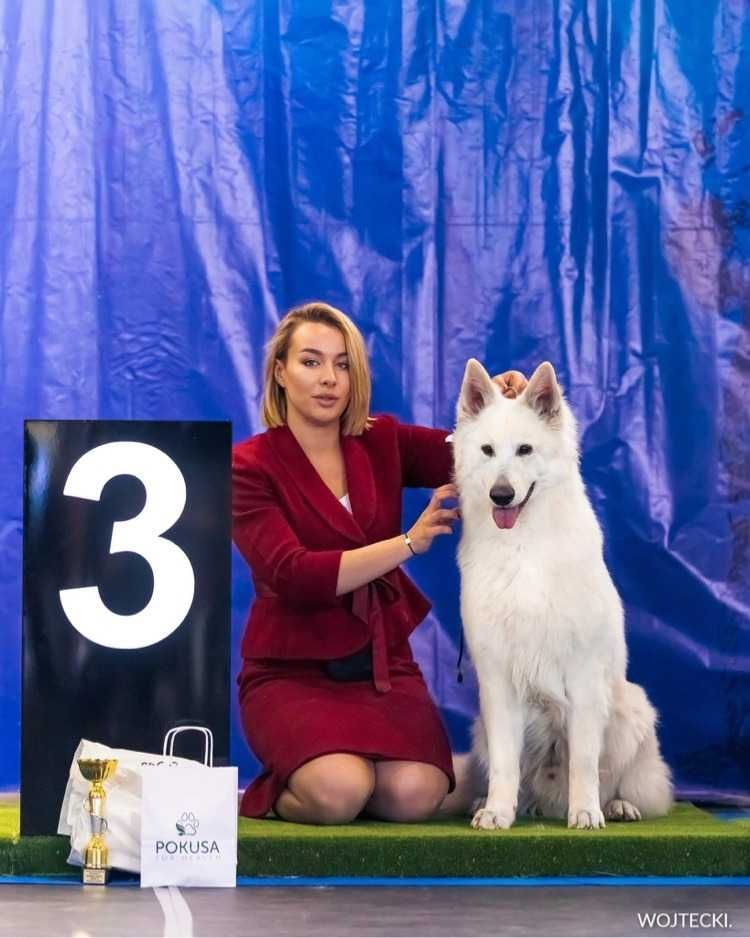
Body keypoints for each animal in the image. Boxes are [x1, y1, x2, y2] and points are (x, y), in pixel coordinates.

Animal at [452, 358, 676, 828]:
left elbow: (585, 762)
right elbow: (504, 763)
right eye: (487, 451)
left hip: (631, 708)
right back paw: (494, 803)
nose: (501, 495)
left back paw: (616, 806)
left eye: (525, 450)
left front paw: (586, 813)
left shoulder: (584, 677)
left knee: (623, 781)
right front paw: (498, 813)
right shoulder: (497, 682)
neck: (523, 547)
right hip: (481, 726)